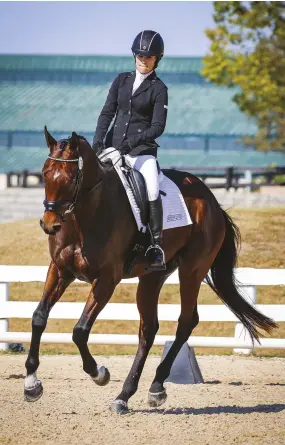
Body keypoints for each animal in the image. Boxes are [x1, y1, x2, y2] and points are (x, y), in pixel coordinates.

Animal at [23, 127, 276, 412]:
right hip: (152, 277)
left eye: (71, 177)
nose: (49, 224)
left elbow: (80, 330)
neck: (84, 217)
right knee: (148, 329)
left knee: (185, 321)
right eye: (44, 172)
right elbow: (39, 317)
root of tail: (212, 201)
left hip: (192, 270)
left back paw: (154, 387)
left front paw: (99, 373)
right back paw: (126, 395)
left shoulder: (107, 279)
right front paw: (31, 384)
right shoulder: (59, 270)